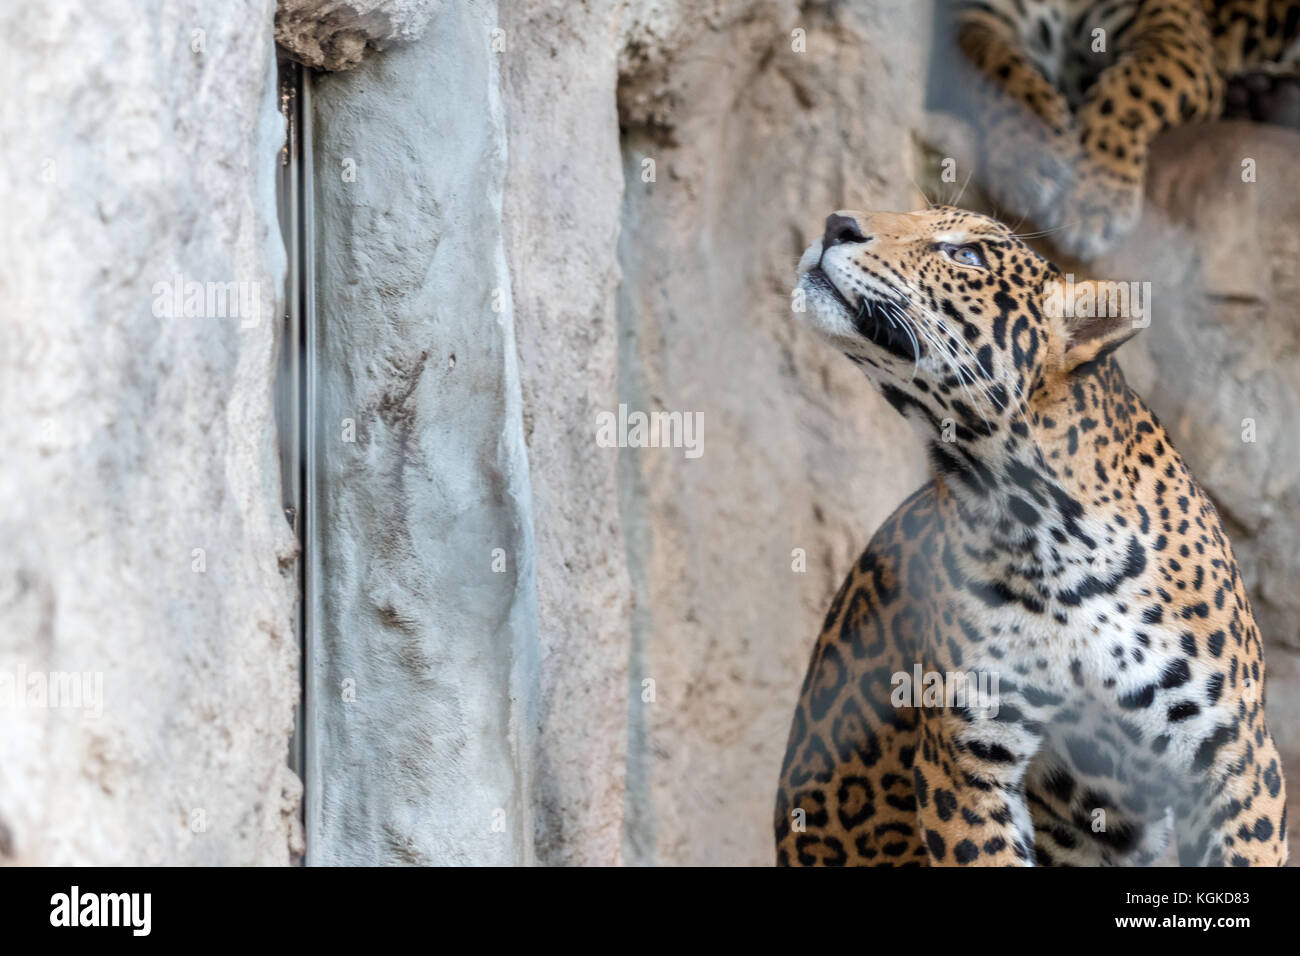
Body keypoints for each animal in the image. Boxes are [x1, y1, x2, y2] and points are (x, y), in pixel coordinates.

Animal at [936, 0, 1300, 259]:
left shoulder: (1175, 36)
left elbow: (1132, 88)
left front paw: (1095, 199)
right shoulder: (971, 19)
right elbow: (1001, 68)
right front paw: (1031, 156)